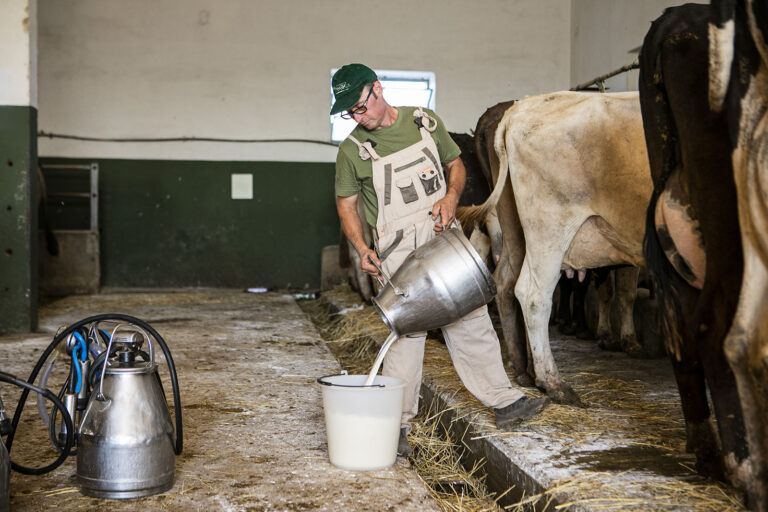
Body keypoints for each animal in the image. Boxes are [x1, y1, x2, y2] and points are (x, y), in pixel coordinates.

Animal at [460, 91, 652, 404]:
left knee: (504, 281)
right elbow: (620, 293)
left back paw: (523, 370)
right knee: (532, 293)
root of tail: (519, 109)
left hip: (512, 224)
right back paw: (552, 382)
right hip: (549, 227)